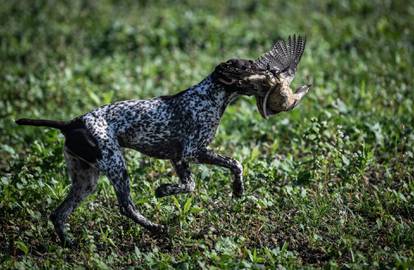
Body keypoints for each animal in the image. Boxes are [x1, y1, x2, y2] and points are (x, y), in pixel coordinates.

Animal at [15, 34, 308, 246]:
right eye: (249, 66)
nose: (271, 71)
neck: (210, 96)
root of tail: (72, 123)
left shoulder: (181, 158)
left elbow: (214, 173)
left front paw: (236, 190)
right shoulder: (190, 153)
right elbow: (212, 174)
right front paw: (165, 190)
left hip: (85, 179)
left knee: (58, 214)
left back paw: (68, 243)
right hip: (115, 166)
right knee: (126, 207)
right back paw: (156, 228)